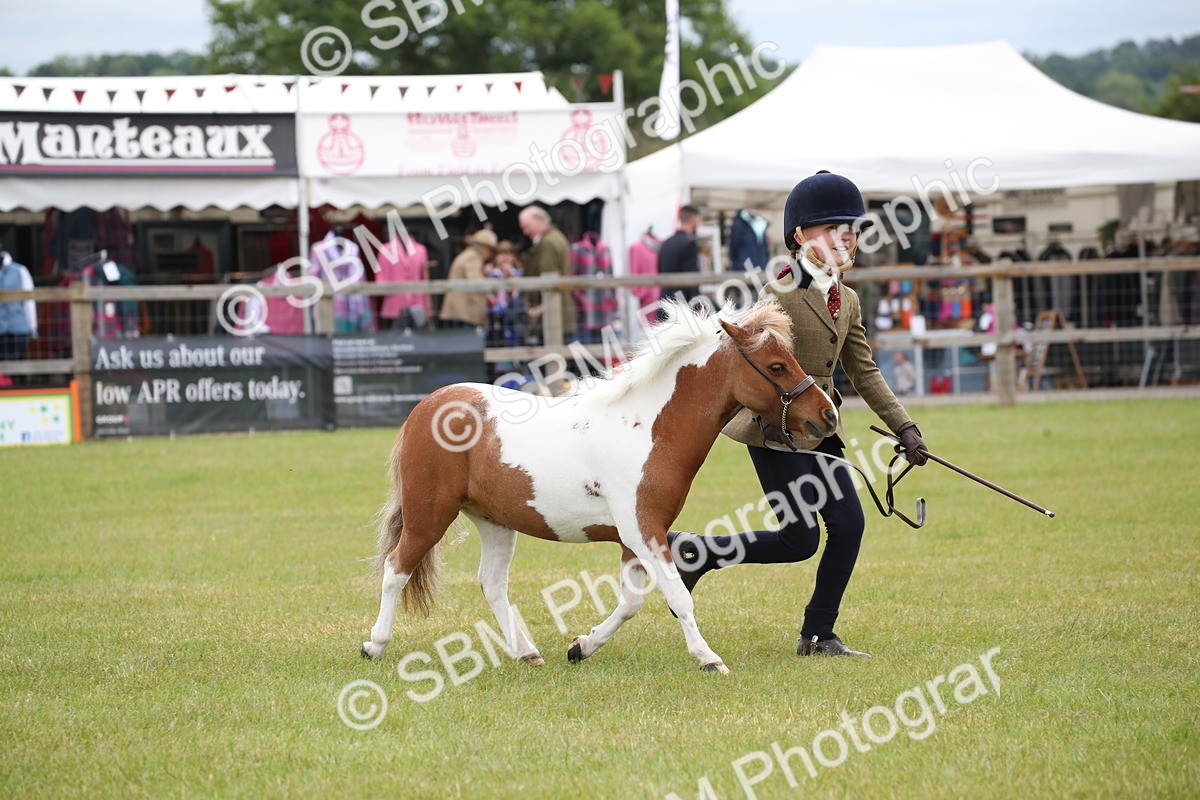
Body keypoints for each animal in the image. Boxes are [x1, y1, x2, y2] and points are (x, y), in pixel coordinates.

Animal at [361, 297, 838, 673]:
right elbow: (678, 596)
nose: (828, 415)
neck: (649, 428)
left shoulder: (635, 538)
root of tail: (428, 405)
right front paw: (708, 658)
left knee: (492, 583)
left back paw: (527, 653)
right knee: (396, 569)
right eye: (777, 366)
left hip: (494, 520)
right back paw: (375, 645)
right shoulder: (644, 531)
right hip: (429, 513)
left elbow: (630, 604)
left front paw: (581, 647)